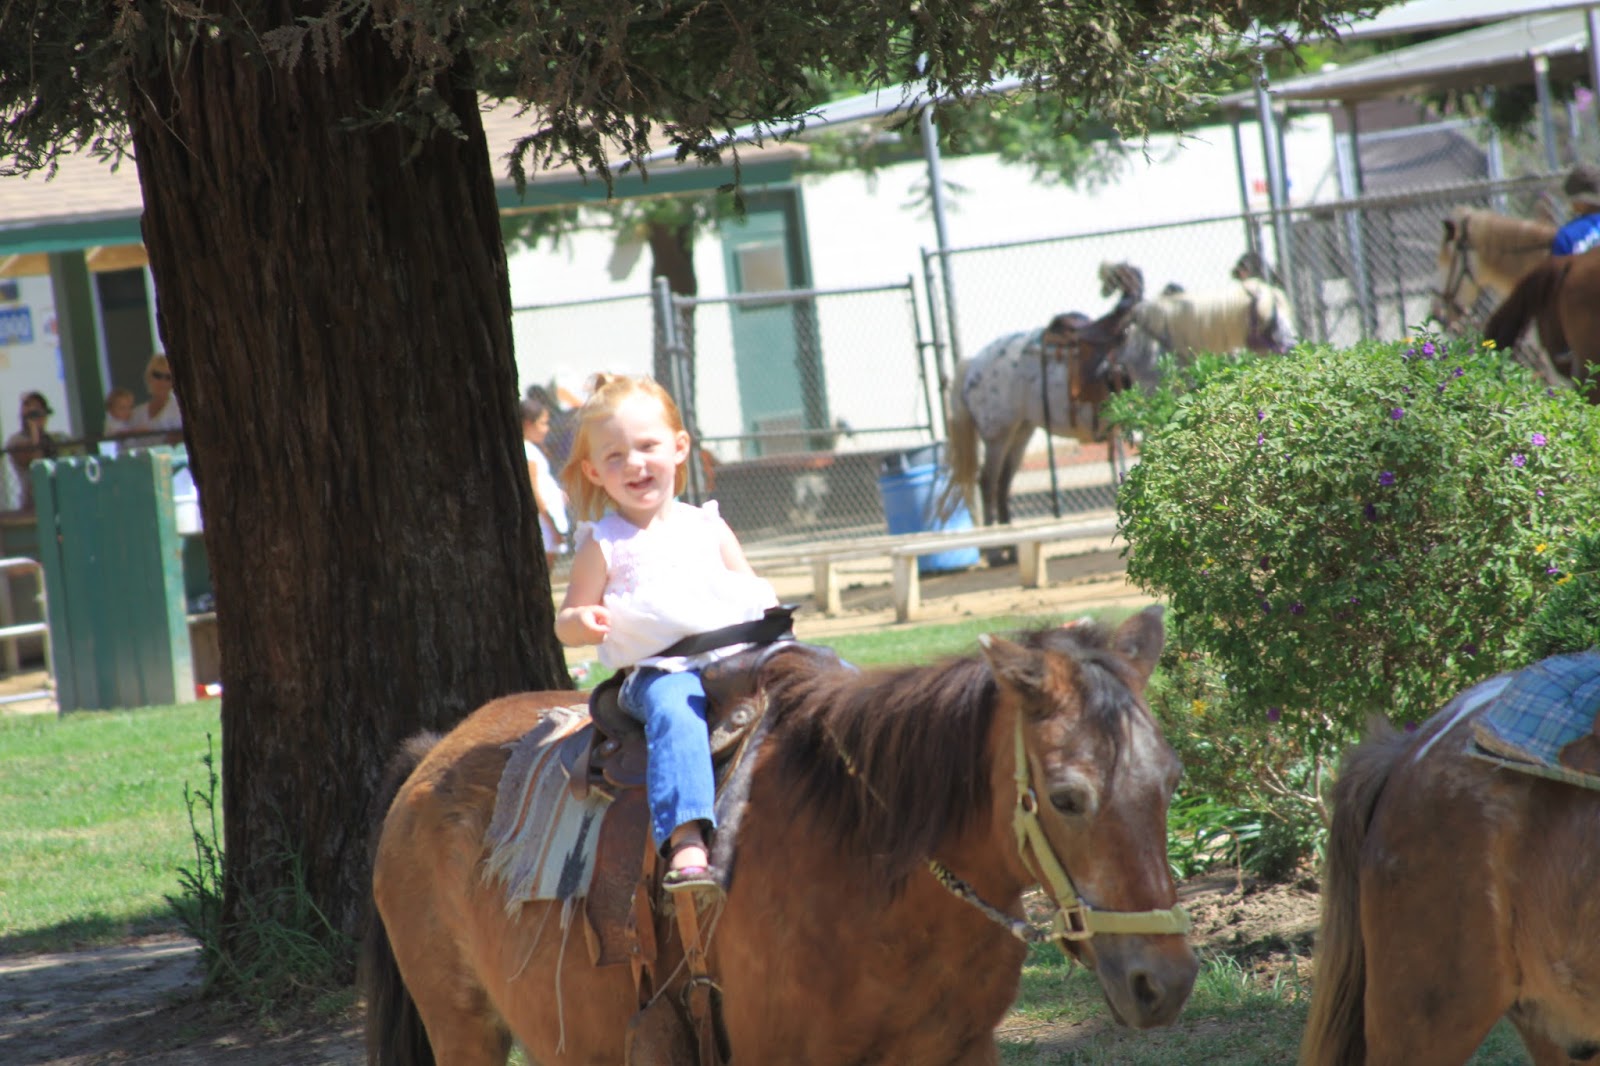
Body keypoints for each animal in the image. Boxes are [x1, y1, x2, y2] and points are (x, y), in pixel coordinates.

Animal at [364, 610, 1198, 1065]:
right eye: (1067, 797)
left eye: (1172, 781)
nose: (1166, 982)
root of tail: (429, 756)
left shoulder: (960, 1050)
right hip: (463, 1028)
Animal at [945, 261, 1145, 528]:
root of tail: (973, 363)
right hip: (998, 434)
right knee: (988, 481)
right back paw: (995, 536)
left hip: (1021, 432)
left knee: (1003, 482)